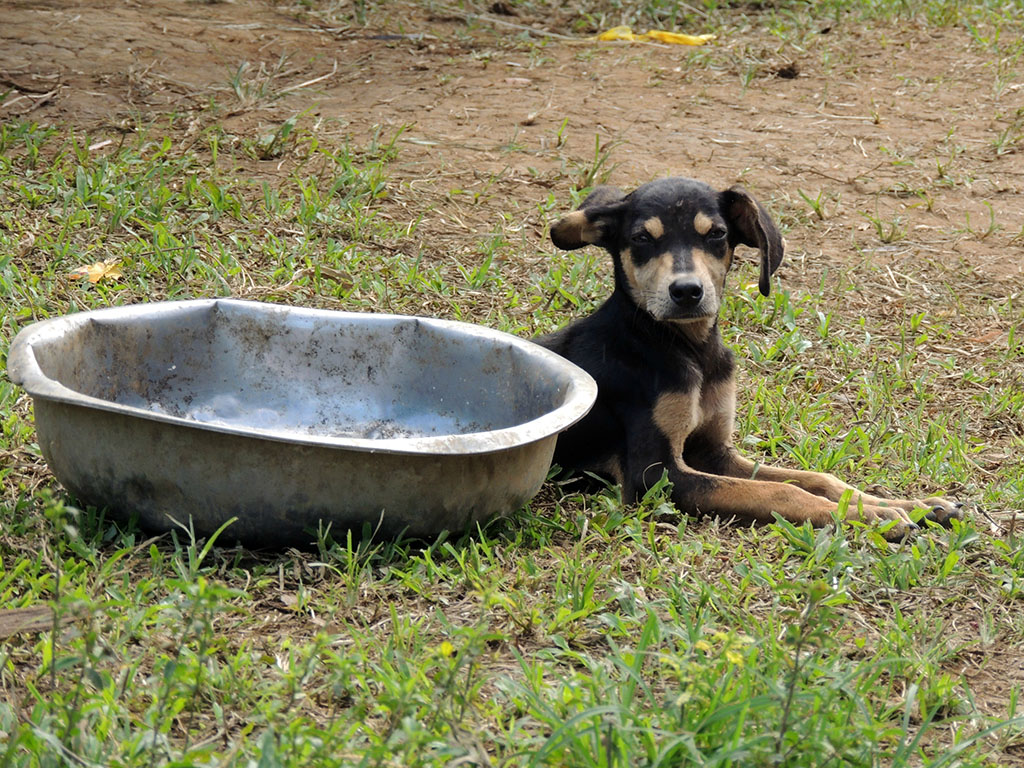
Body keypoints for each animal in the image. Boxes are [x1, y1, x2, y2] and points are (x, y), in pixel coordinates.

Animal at [540, 179, 962, 540]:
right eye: (642, 238)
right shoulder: (653, 474)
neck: (688, 349)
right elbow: (781, 493)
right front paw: (872, 516)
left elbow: (816, 479)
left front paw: (911, 504)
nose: (687, 291)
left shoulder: (713, 452)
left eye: (716, 234)